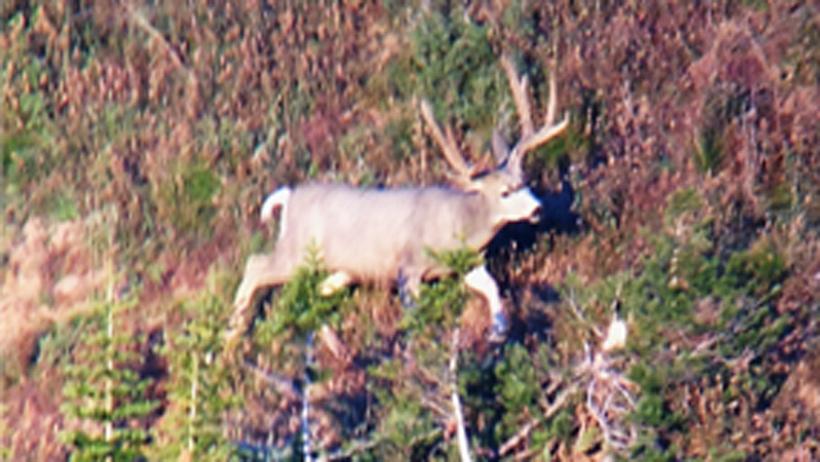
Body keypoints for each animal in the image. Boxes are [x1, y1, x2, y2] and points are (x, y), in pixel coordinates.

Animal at [226, 54, 569, 348]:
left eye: (525, 181)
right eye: (505, 193)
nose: (538, 208)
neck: (458, 222)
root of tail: (289, 196)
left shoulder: (466, 263)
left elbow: (492, 287)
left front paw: (499, 330)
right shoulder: (409, 267)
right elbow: (416, 316)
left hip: (338, 268)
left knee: (312, 295)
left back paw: (334, 346)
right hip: (295, 252)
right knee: (255, 265)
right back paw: (230, 338)